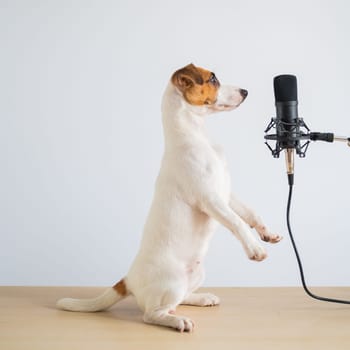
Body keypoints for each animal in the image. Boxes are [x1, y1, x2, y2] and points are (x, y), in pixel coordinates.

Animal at [57, 63, 282, 334]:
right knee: (152, 314)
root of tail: (128, 280)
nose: (245, 91)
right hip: (172, 282)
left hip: (196, 275)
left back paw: (201, 298)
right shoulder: (209, 199)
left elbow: (250, 213)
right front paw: (255, 249)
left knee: (181, 298)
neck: (198, 136)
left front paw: (267, 234)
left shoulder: (226, 194)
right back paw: (178, 321)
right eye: (213, 79)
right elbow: (237, 223)